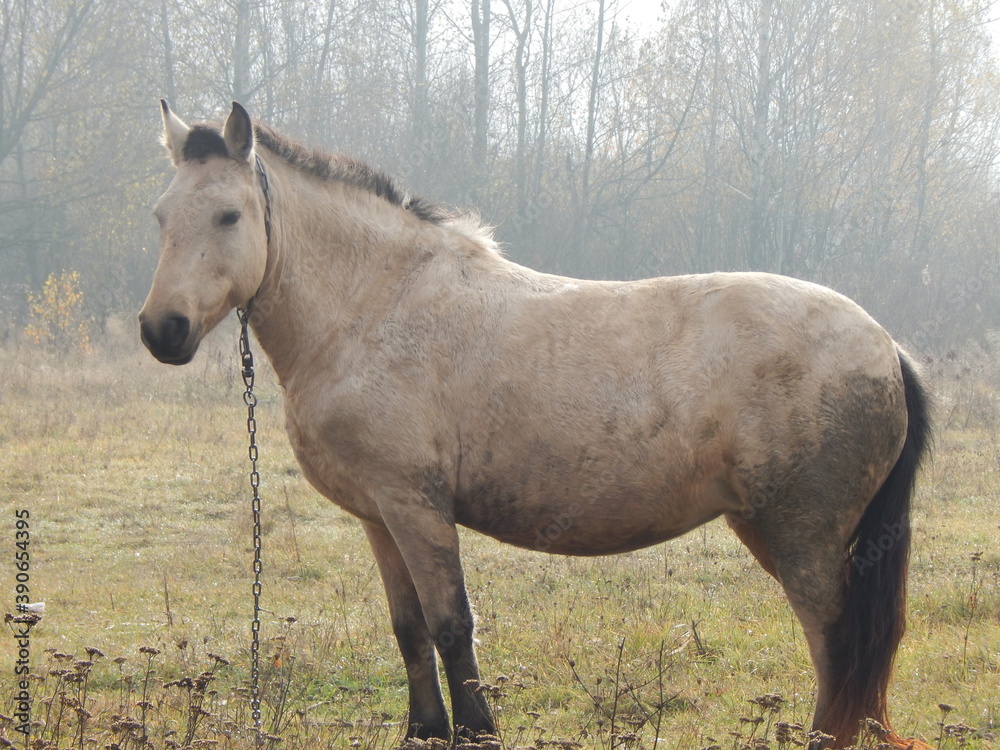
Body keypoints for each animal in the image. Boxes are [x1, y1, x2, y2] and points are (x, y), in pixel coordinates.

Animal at [139, 101, 931, 749]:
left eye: (229, 216)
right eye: (161, 215)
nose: (162, 330)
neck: (375, 306)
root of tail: (885, 344)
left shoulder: (417, 507)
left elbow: (452, 626)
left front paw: (477, 732)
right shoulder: (379, 515)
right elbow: (409, 630)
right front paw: (425, 732)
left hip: (804, 536)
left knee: (835, 643)